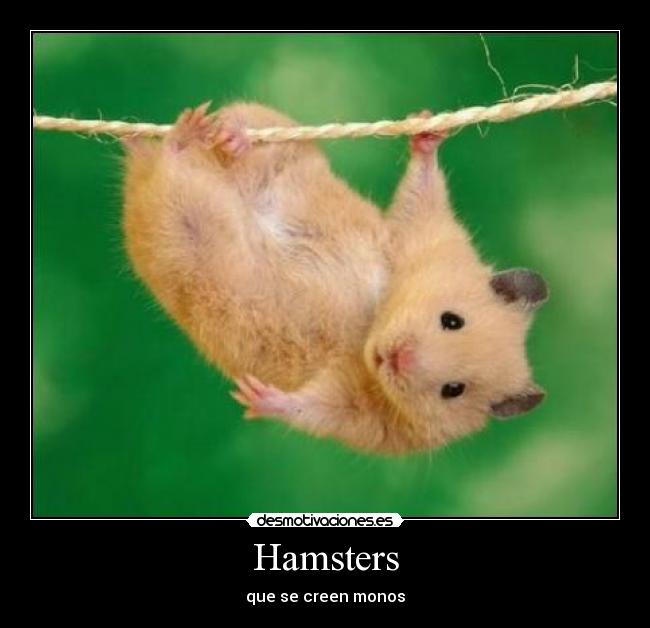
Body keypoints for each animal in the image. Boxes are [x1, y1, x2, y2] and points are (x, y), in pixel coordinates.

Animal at [121, 102, 548, 455]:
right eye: (452, 320)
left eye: (453, 390)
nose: (395, 357)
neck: (372, 324)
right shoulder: (419, 237)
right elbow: (421, 193)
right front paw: (427, 127)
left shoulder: (367, 417)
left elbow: (314, 409)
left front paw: (253, 396)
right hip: (279, 144)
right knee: (247, 129)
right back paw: (218, 134)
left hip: (181, 231)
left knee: (171, 174)